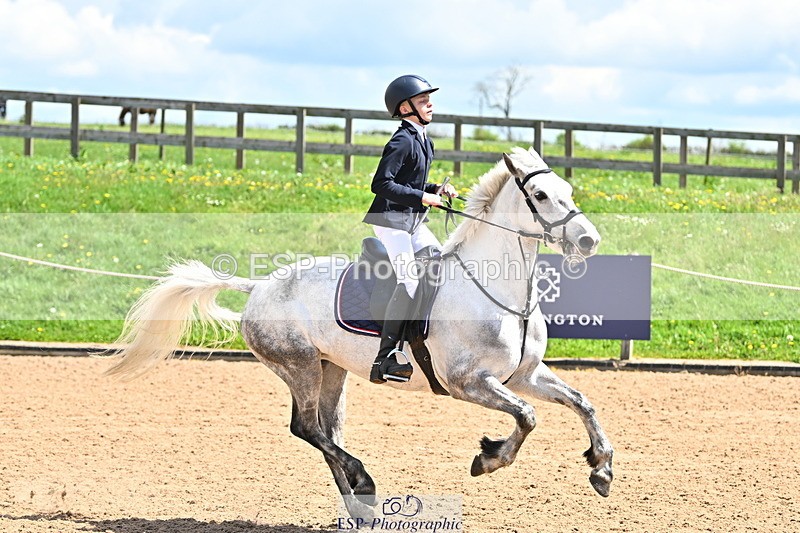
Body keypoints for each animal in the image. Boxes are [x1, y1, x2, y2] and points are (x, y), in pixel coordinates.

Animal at [105, 147, 614, 518]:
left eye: (568, 189)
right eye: (542, 196)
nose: (588, 240)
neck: (497, 289)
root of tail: (259, 286)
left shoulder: (524, 375)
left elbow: (582, 403)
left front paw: (602, 469)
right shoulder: (468, 382)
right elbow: (527, 417)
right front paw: (488, 458)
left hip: (331, 369)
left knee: (328, 432)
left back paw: (360, 506)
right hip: (299, 365)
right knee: (307, 428)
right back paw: (364, 484)